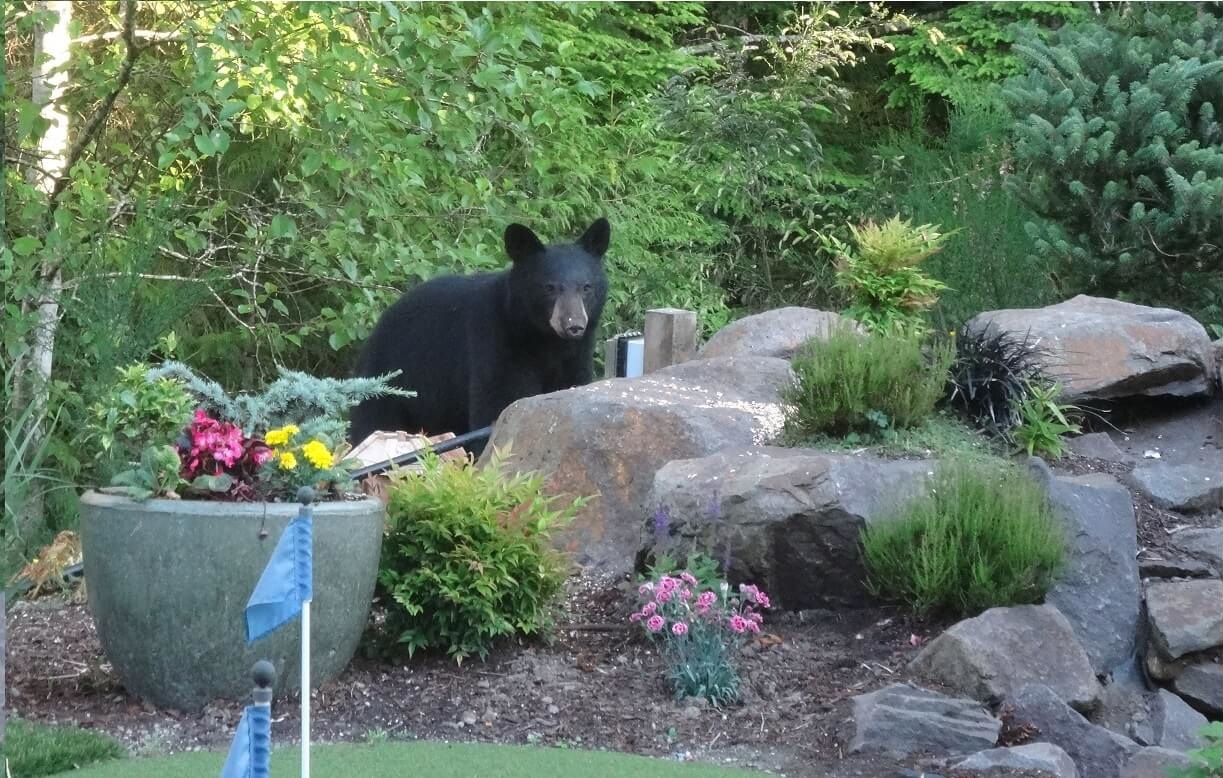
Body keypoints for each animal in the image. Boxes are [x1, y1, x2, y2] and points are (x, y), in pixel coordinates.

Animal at [347, 220, 609, 450]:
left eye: (587, 287)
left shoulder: (575, 357)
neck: (544, 341)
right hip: (390, 379)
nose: (574, 325)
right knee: (373, 420)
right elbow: (495, 405)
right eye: (549, 287)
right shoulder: (496, 343)